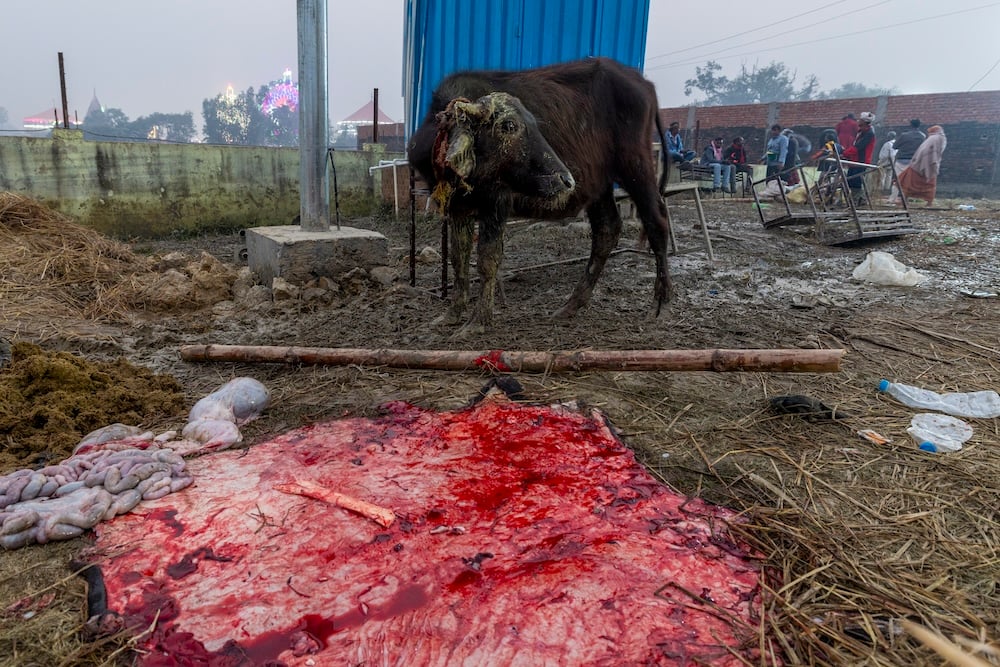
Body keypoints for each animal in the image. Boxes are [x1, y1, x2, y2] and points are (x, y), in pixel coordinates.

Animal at [406, 56, 672, 332]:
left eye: (534, 125)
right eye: (509, 125)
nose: (566, 179)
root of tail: (644, 84)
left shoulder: (496, 202)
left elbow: (487, 259)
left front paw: (477, 322)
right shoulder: (459, 207)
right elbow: (458, 259)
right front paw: (452, 314)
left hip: (636, 166)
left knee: (657, 221)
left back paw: (660, 304)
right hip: (600, 183)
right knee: (607, 229)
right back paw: (571, 305)